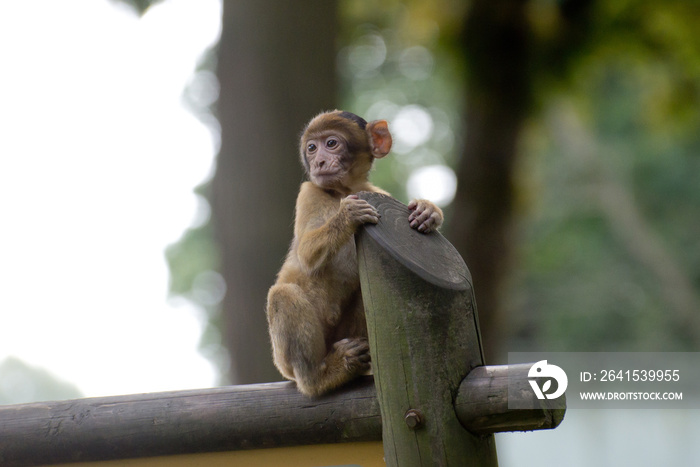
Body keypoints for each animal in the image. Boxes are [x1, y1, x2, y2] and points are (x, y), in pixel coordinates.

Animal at [266, 110, 442, 398]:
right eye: (312, 148)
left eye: (331, 143)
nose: (319, 161)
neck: (342, 191)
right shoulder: (308, 192)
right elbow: (306, 254)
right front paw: (347, 216)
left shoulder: (377, 193)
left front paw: (428, 211)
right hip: (284, 360)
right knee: (283, 295)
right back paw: (320, 377)